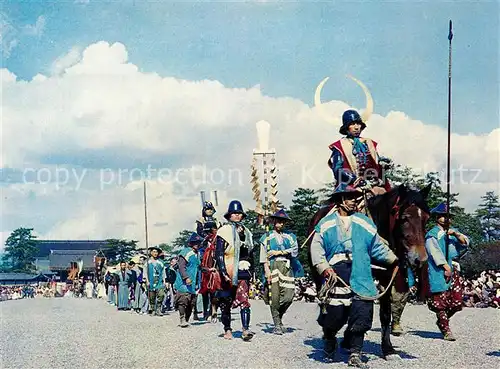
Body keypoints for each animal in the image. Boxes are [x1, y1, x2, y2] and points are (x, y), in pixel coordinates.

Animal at [304, 183, 430, 356]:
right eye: (404, 218)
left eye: (426, 219)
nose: (420, 259)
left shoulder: (386, 277)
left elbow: (385, 313)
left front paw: (387, 348)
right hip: (318, 272)